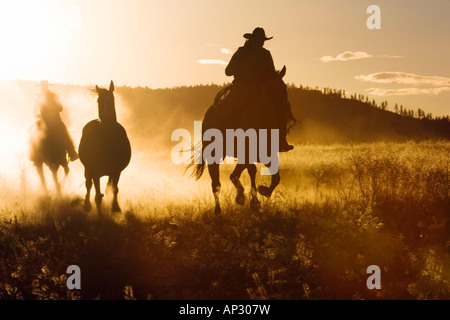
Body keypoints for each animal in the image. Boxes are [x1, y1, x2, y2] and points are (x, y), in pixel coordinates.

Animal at [79, 81, 131, 214]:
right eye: (99, 100)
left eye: (112, 99)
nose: (105, 118)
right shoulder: (95, 172)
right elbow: (97, 195)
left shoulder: (116, 171)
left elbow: (114, 189)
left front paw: (115, 207)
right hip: (88, 169)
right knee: (88, 185)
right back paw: (87, 205)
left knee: (108, 187)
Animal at [189, 65, 292, 215]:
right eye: (270, 87)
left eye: (284, 86)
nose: (281, 107)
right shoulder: (246, 152)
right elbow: (251, 170)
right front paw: (251, 200)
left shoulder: (265, 154)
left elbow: (275, 177)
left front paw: (262, 192)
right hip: (214, 155)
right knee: (216, 184)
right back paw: (218, 210)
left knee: (233, 175)